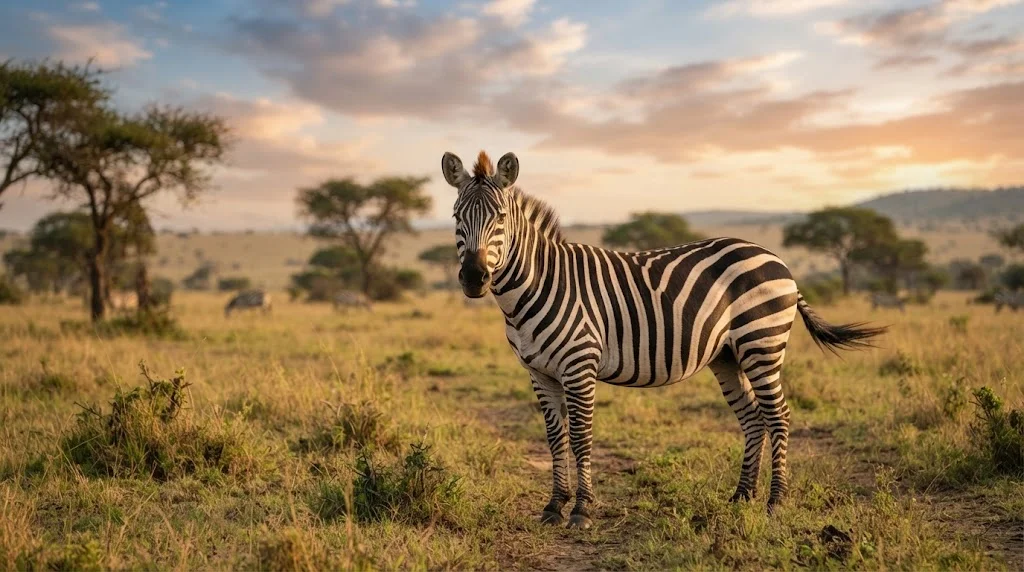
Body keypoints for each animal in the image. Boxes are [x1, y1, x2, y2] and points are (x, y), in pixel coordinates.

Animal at [442, 150, 886, 529]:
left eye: (500, 217)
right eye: (456, 216)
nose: (474, 278)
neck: (536, 285)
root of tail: (775, 257)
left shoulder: (579, 365)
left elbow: (581, 437)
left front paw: (581, 510)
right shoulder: (539, 372)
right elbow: (555, 439)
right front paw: (554, 506)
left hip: (761, 343)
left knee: (778, 416)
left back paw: (775, 503)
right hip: (727, 355)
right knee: (753, 417)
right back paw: (741, 497)